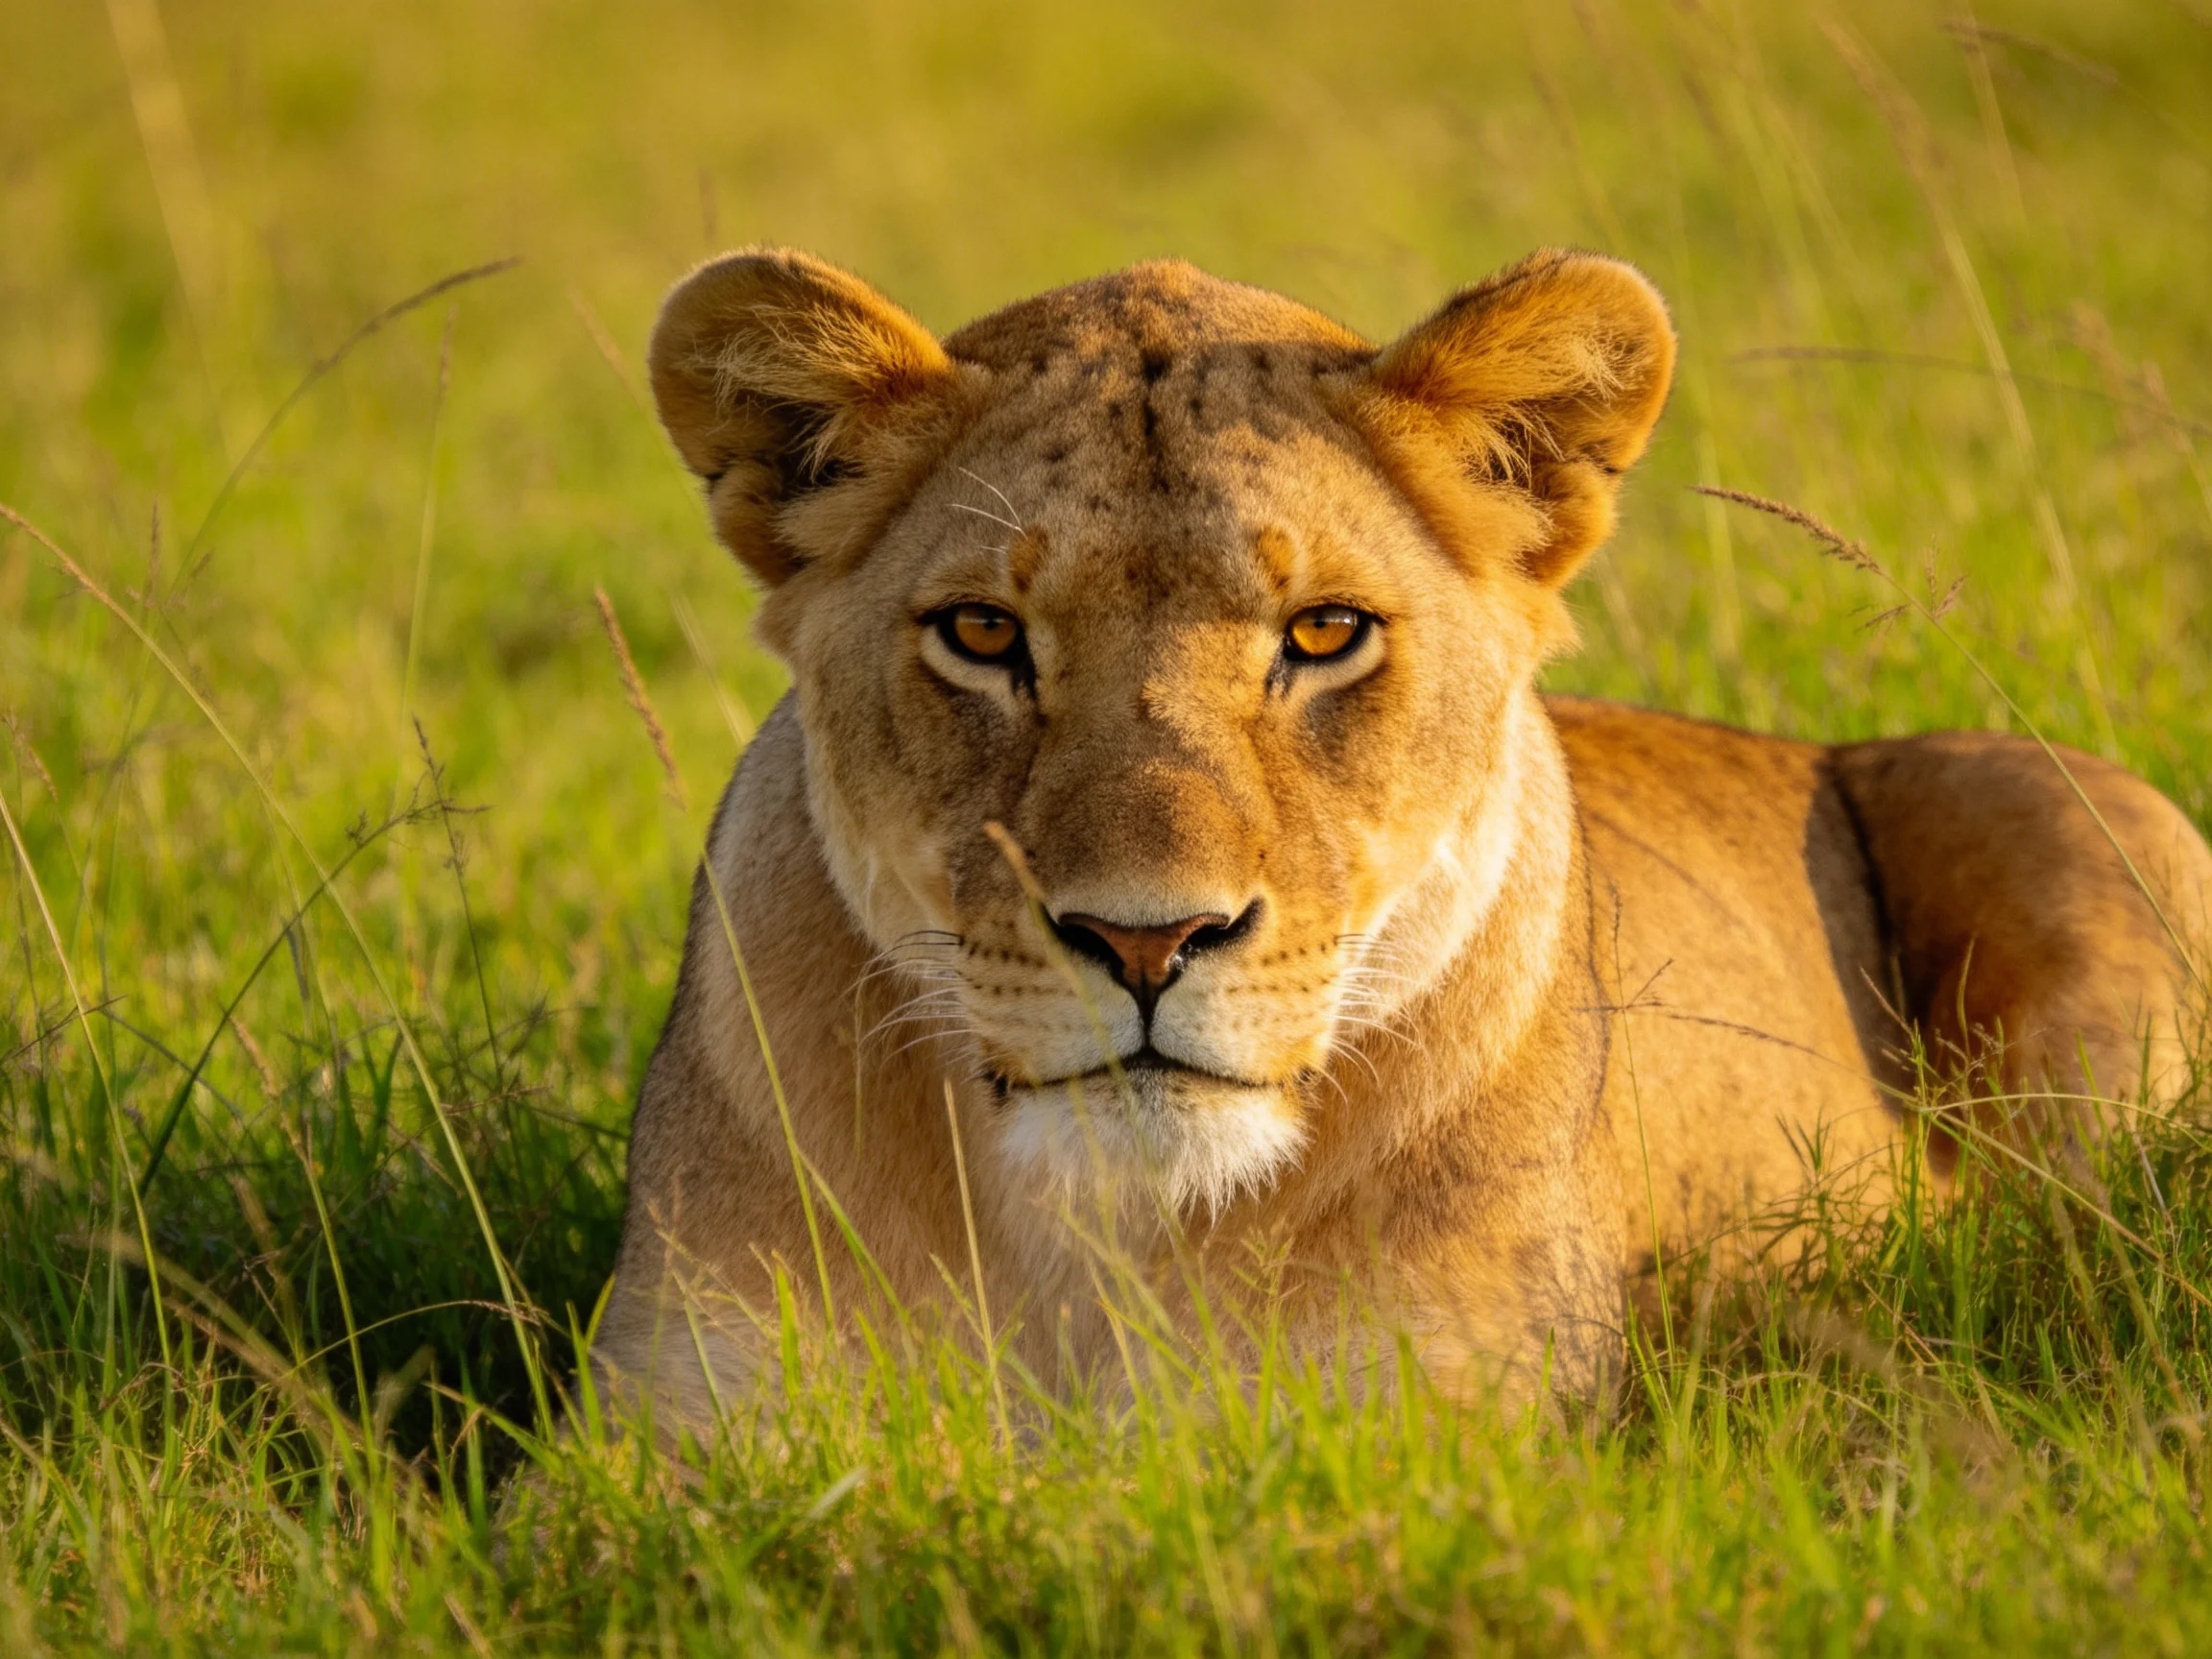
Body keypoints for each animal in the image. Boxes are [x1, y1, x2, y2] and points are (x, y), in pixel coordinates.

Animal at [594, 246, 2210, 1418]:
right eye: (984, 634)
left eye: (1324, 633)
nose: (1145, 940)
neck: (1103, 1250)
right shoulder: (674, 1435)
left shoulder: (1458, 1421)